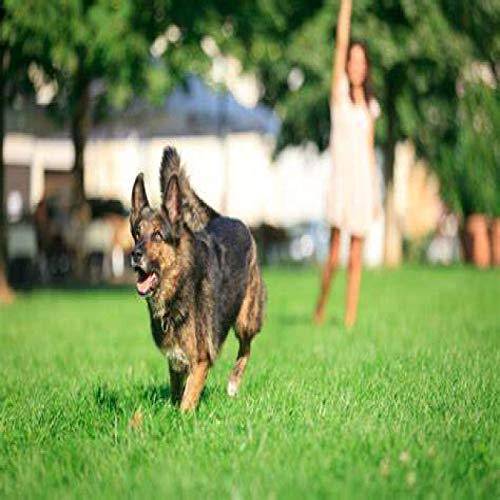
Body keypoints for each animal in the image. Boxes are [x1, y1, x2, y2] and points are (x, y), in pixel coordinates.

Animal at [131, 146, 268, 412]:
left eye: (158, 235)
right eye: (137, 234)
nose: (134, 255)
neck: (179, 285)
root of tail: (225, 217)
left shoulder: (201, 360)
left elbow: (186, 403)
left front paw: (181, 419)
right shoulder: (176, 361)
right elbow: (177, 394)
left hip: (246, 319)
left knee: (246, 348)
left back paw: (233, 383)